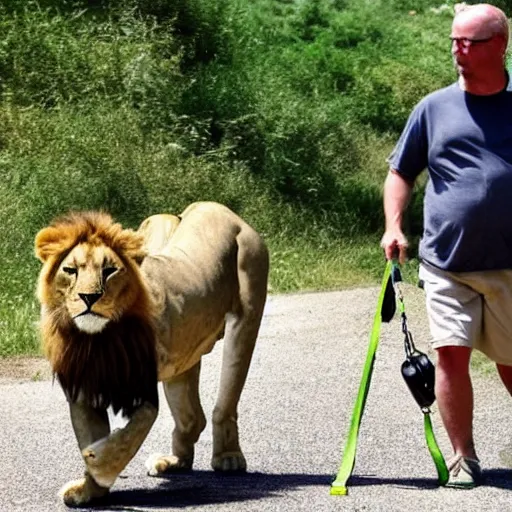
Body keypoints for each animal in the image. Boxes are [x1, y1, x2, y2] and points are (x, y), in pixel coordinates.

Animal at [34, 202, 270, 506]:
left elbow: (127, 437)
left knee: (224, 403)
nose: (89, 297)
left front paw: (98, 463)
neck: (97, 340)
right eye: (70, 270)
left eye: (110, 271)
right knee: (192, 417)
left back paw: (228, 458)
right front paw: (89, 491)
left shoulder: (141, 388)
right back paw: (173, 462)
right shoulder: (83, 388)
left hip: (247, 306)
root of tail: (217, 208)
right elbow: (90, 433)